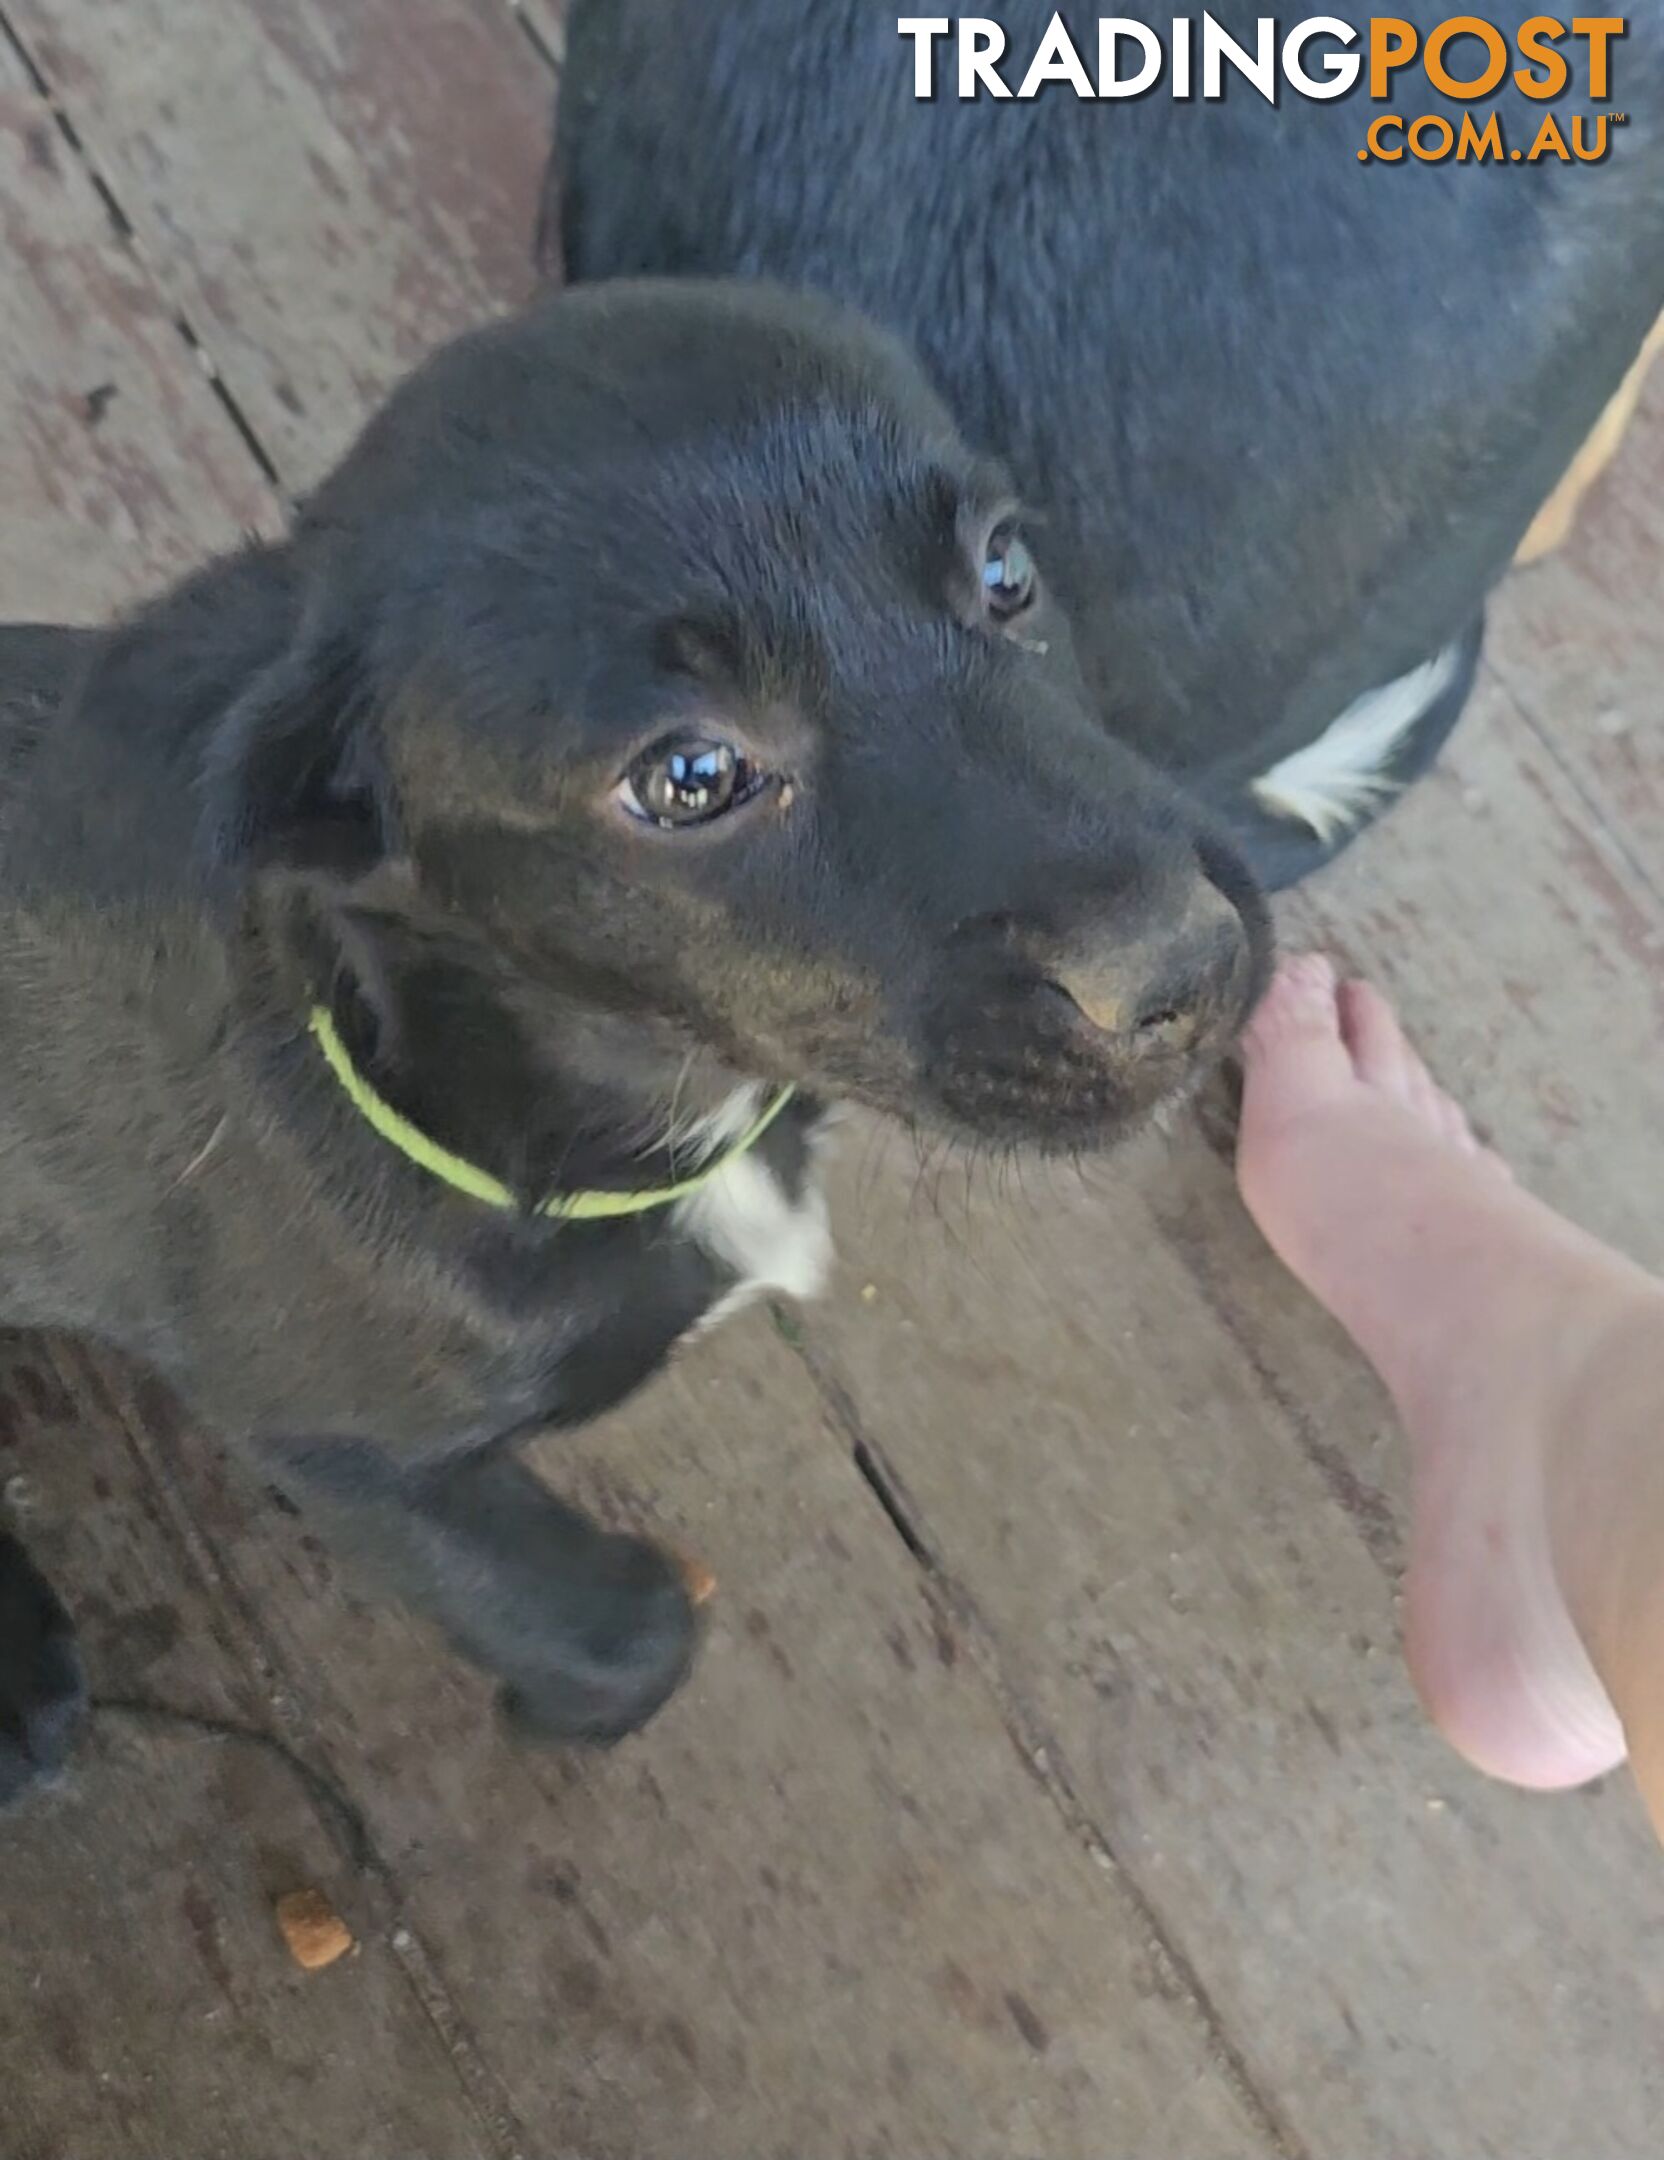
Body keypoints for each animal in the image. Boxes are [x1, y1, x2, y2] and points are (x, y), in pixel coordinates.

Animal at [0, 278, 1262, 1797]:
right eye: (692, 774)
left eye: (1007, 571)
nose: (1188, 965)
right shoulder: (331, 1440)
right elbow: (626, 1628)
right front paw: (581, 1693)